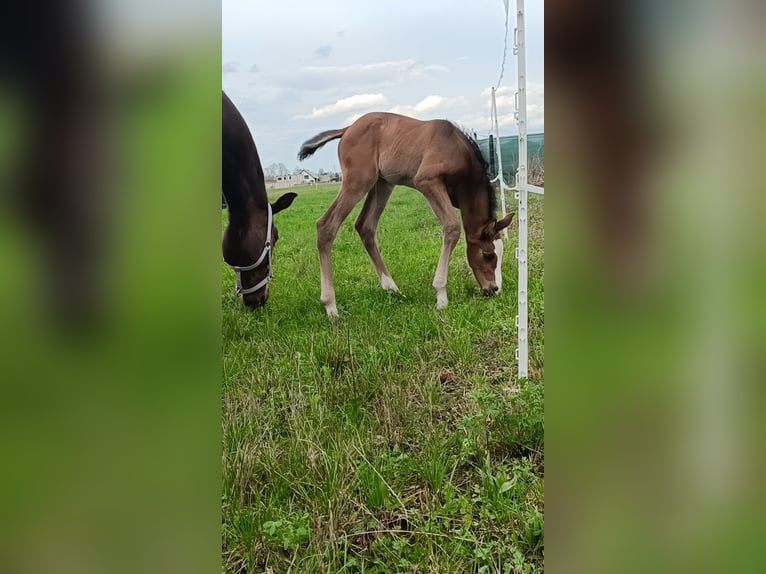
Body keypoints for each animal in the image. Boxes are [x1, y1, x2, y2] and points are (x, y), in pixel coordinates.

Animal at [300, 111, 516, 320]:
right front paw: (441, 297)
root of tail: (347, 129)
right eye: (488, 255)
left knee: (365, 226)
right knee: (326, 225)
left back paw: (392, 289)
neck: (458, 149)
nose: (494, 289)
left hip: (383, 183)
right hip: (359, 180)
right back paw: (331, 306)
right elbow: (452, 227)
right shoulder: (427, 181)